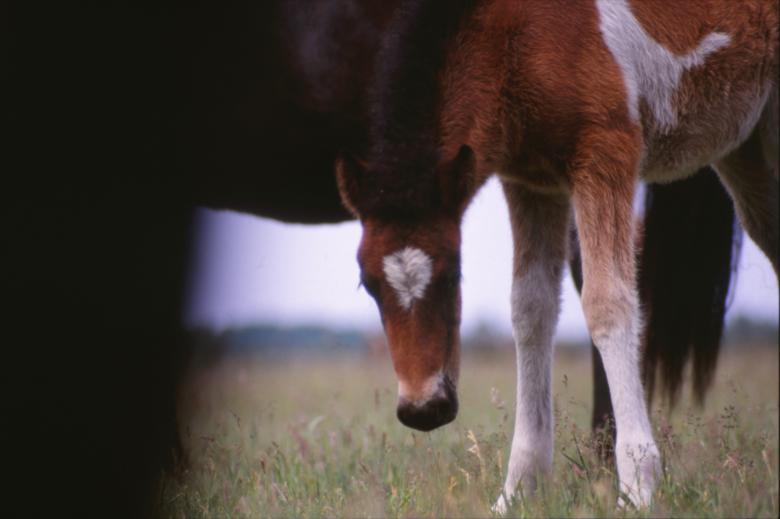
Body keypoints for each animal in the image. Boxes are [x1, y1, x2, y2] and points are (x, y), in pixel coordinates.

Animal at [332, 0, 778, 511]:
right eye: (367, 283)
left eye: (453, 274)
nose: (424, 409)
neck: (513, 35)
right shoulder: (530, 181)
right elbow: (530, 311)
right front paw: (516, 492)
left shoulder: (606, 151)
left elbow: (608, 304)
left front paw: (638, 488)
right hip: (747, 148)